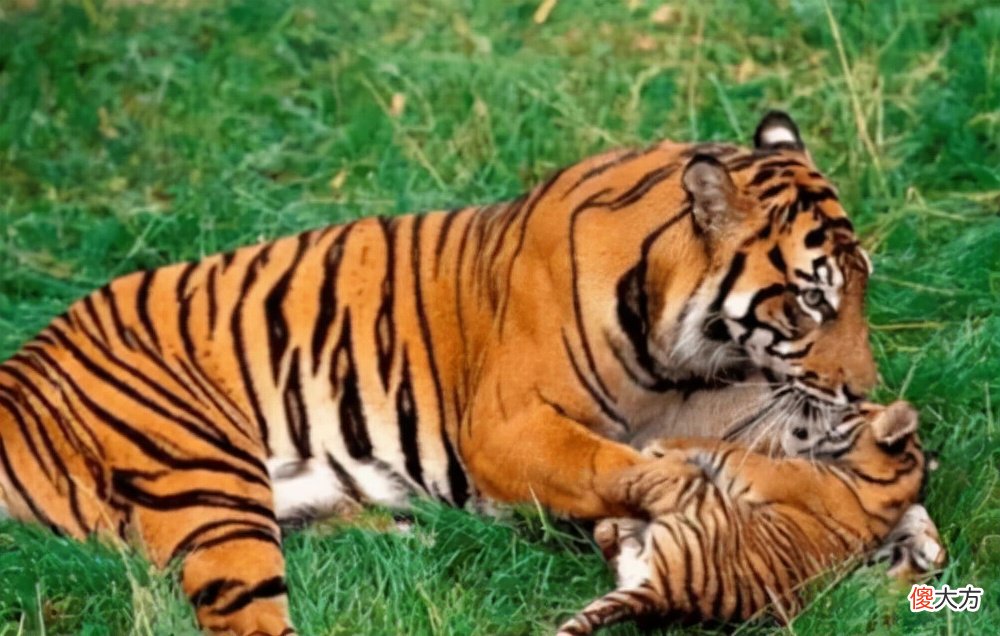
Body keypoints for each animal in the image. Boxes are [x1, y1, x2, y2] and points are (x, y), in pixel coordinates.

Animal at [556, 400, 937, 635]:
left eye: (855, 409)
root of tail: (662, 593)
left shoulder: (770, 472)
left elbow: (723, 448)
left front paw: (663, 442)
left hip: (690, 493)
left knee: (634, 478)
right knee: (610, 537)